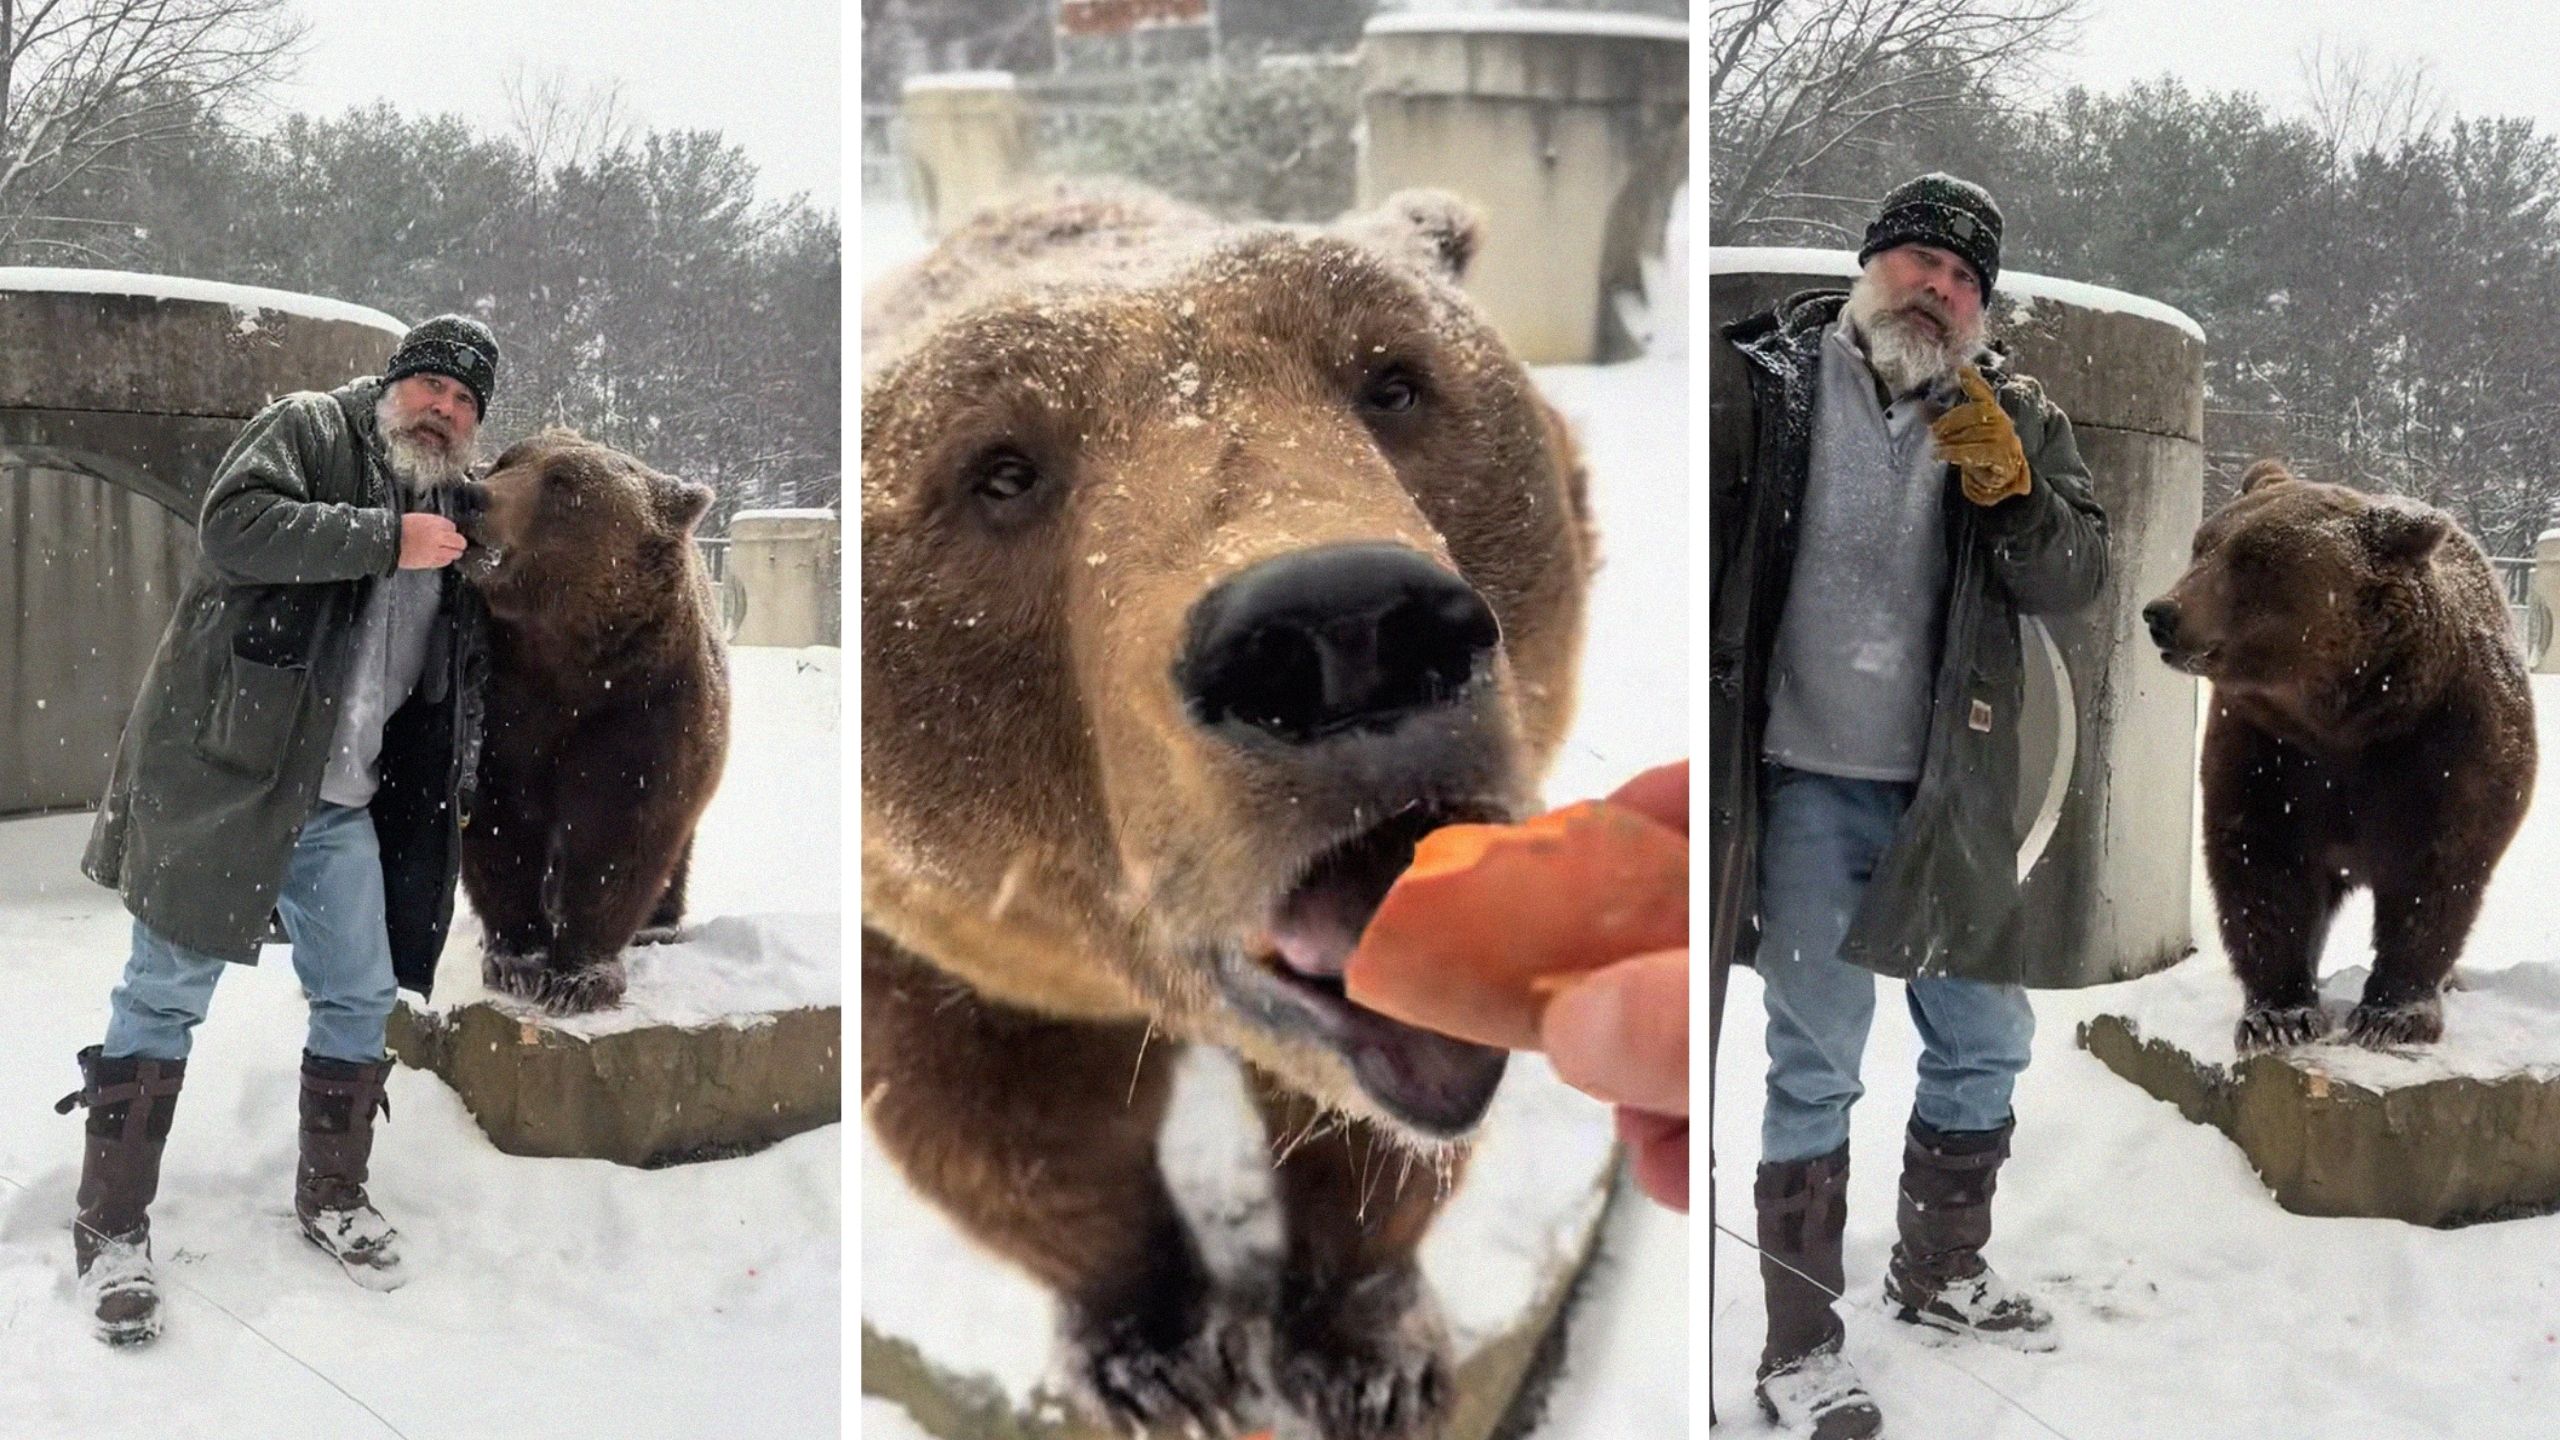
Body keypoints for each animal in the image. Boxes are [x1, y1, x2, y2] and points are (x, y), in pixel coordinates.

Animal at [456, 428, 732, 1015]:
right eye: (506, 460)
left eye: (563, 484)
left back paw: (658, 925)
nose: (473, 495)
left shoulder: (642, 706)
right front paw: (518, 959)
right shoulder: (499, 709)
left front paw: (581, 976)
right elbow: (495, 823)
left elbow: (619, 833)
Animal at [861, 180, 1595, 1440]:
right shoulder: (945, 944)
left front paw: (1368, 1354)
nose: (1347, 631)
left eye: (1393, 380)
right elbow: (1001, 1127)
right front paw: (1159, 1361)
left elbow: (1378, 1151)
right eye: (998, 470)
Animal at [2143, 459, 2535, 1052]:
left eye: (2253, 557)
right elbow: (2262, 865)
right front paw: (2278, 1014)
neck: (2341, 714)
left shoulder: (2445, 744)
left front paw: (2393, 1014)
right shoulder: (2269, 750)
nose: (2162, 613)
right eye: (2201, 544)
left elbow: (2435, 876)